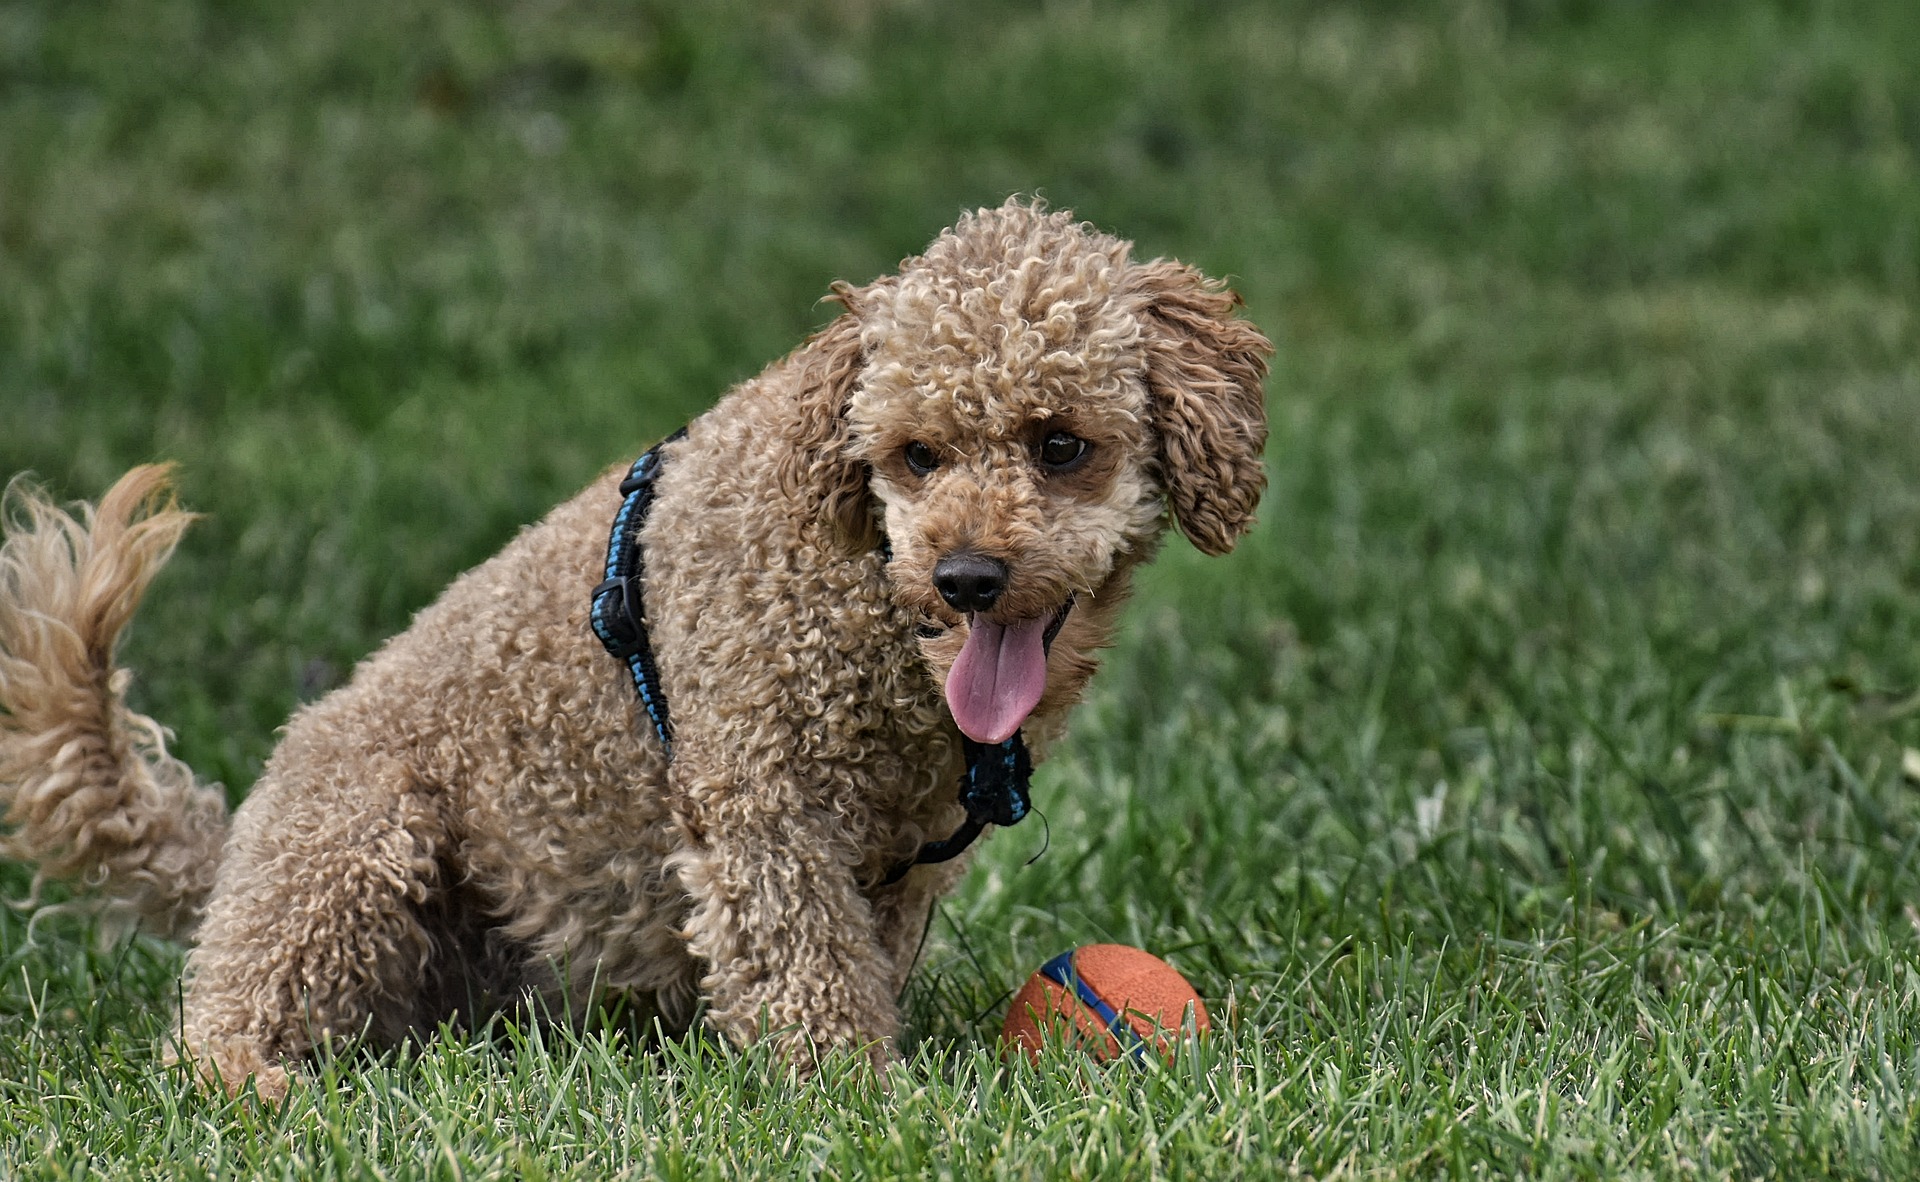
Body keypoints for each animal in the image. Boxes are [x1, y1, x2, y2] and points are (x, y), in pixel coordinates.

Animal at [3, 196, 1274, 1097]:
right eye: (916, 455)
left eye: (1061, 446)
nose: (966, 576)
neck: (868, 585)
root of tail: (231, 854)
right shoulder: (761, 793)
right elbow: (808, 966)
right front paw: (857, 1097)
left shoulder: (904, 863)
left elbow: (860, 954)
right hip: (358, 841)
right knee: (212, 1031)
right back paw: (251, 1079)